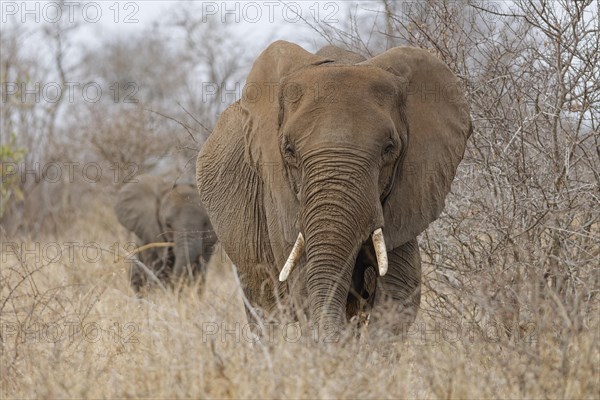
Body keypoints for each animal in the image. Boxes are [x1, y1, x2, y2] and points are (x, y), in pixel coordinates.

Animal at [195, 40, 472, 340]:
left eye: (390, 149)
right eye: (288, 150)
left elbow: (400, 288)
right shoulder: (277, 193)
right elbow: (304, 281)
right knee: (265, 306)